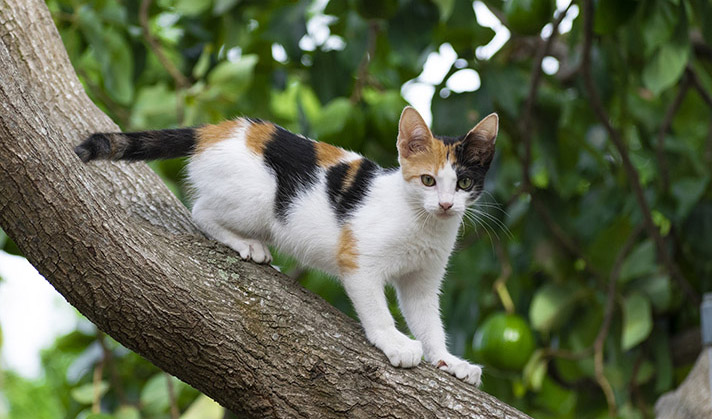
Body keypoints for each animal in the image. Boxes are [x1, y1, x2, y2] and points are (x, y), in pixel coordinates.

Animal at [76, 106, 496, 388]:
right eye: (427, 180)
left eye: (462, 184)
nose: (446, 205)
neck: (423, 222)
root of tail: (216, 130)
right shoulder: (359, 261)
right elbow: (377, 309)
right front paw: (394, 342)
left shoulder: (422, 280)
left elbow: (428, 320)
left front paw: (447, 361)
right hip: (257, 198)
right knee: (200, 211)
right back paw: (248, 244)